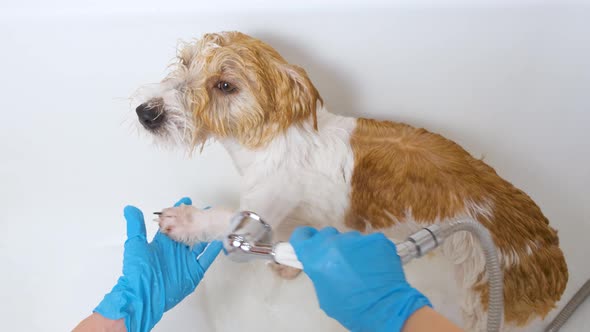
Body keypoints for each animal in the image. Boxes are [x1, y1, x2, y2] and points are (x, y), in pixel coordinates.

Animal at [134, 31, 568, 332]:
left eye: (225, 85)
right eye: (185, 62)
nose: (147, 112)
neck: (272, 140)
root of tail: (553, 265)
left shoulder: (265, 202)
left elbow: (226, 220)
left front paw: (185, 220)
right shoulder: (295, 215)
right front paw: (290, 268)